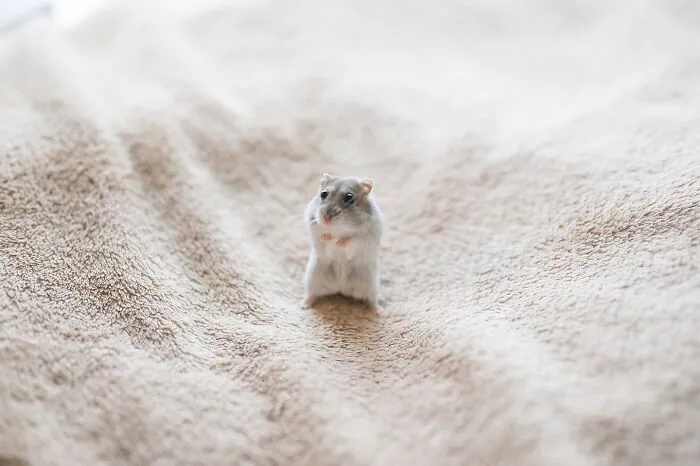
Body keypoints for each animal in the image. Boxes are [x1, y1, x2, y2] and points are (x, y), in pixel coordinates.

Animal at [302, 173, 384, 315]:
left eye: (349, 197)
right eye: (323, 194)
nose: (327, 218)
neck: (338, 228)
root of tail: (341, 288)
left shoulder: (364, 236)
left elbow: (351, 238)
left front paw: (340, 242)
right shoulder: (313, 223)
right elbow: (321, 233)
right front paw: (327, 238)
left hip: (372, 286)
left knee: (371, 301)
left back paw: (379, 311)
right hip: (312, 279)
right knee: (312, 294)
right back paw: (304, 305)